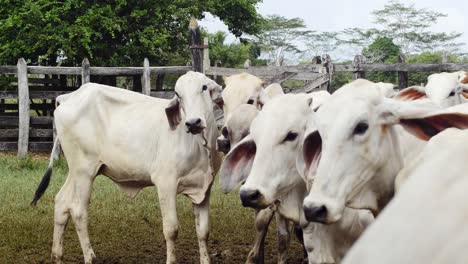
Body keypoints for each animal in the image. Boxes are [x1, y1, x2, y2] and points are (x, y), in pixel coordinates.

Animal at [30, 71, 223, 264]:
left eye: (204, 87)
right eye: (178, 94)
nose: (193, 122)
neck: (200, 145)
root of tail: (67, 97)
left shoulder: (205, 188)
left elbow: (203, 231)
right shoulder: (166, 183)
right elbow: (171, 230)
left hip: (76, 170)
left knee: (62, 202)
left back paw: (57, 255)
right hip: (85, 171)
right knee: (78, 211)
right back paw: (89, 256)